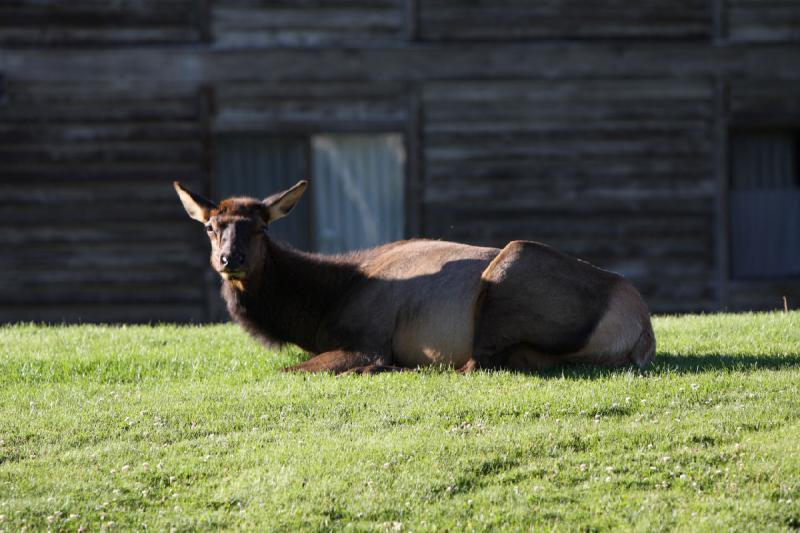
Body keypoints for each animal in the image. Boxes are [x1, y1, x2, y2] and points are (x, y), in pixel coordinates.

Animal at [175, 181, 656, 372]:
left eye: (261, 227)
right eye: (211, 227)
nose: (230, 258)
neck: (320, 308)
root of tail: (640, 329)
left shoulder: (367, 339)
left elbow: (293, 370)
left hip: (510, 272)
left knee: (474, 364)